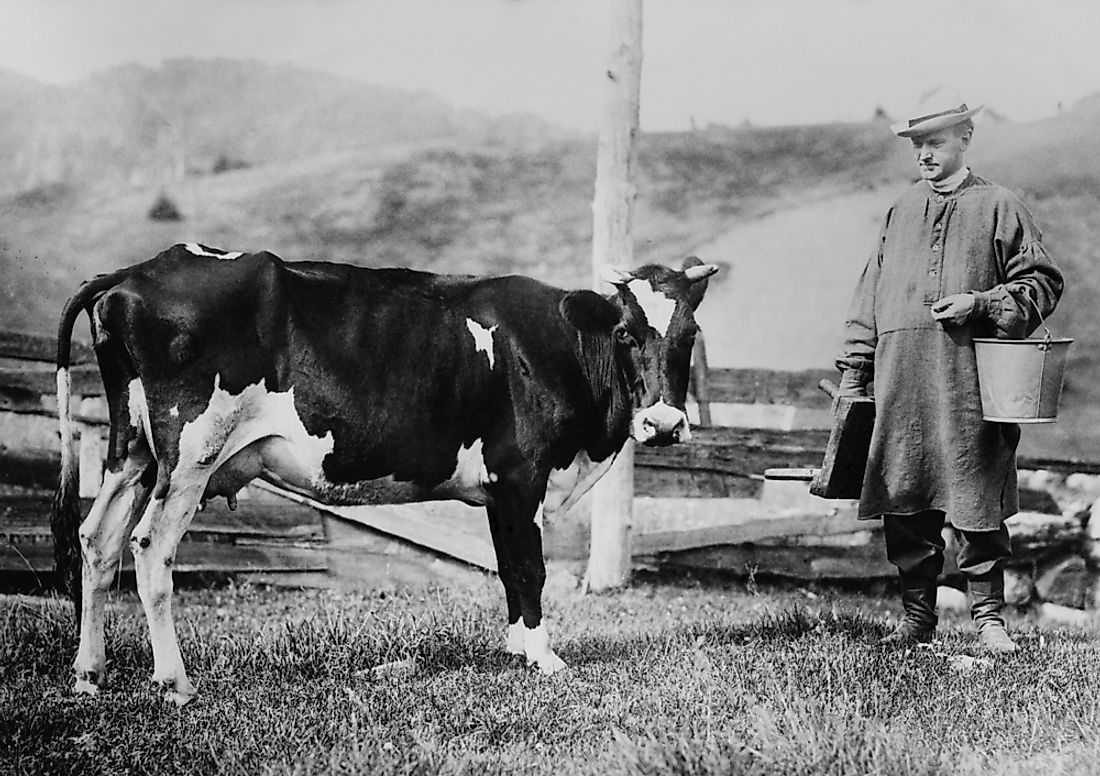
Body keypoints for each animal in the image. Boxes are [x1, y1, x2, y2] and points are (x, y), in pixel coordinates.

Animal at [51, 242, 717, 704]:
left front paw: (515, 649)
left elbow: (508, 568)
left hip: (133, 451)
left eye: (689, 333)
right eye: (626, 332)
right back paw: (175, 682)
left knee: (97, 539)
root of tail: (139, 271)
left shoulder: (499, 491)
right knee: (148, 546)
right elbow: (531, 568)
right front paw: (545, 657)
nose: (663, 422)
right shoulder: (522, 476)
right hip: (189, 454)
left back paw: (89, 673)